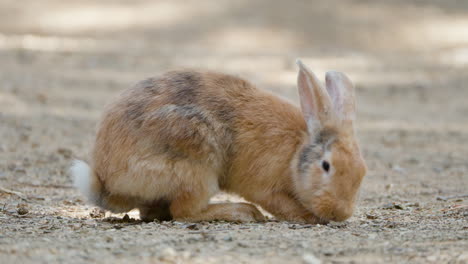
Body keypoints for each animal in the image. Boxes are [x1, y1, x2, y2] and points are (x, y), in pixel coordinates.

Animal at [71, 60, 368, 224]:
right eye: (326, 165)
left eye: (362, 172)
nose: (341, 213)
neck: (296, 152)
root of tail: (107, 182)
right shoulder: (265, 187)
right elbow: (281, 205)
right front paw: (308, 218)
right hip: (196, 167)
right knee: (184, 212)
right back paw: (243, 213)